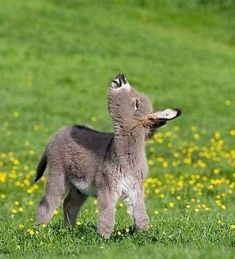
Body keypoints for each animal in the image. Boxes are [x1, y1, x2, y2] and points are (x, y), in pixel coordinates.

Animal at [35, 74, 182, 239]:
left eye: (136, 103)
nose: (121, 76)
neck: (126, 157)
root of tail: (56, 135)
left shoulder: (135, 188)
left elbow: (140, 214)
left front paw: (143, 235)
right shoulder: (107, 187)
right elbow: (107, 214)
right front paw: (104, 238)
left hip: (78, 186)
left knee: (69, 204)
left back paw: (69, 230)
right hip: (58, 174)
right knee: (47, 203)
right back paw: (38, 230)